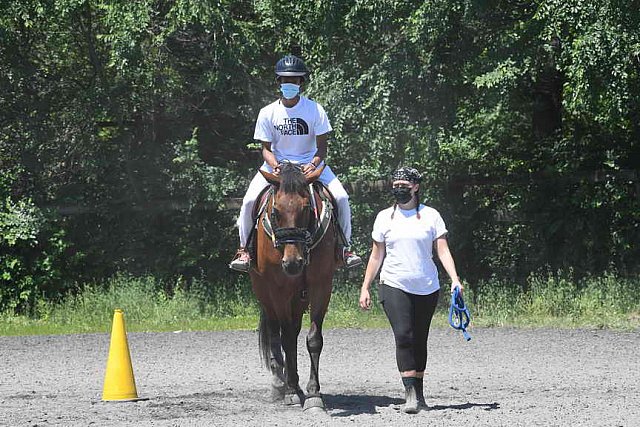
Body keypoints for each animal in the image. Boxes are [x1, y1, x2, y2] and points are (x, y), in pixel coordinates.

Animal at [249, 162, 340, 412]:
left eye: (306, 208)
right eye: (276, 211)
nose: (292, 263)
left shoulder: (321, 286)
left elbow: (313, 339)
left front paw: (313, 393)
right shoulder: (279, 289)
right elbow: (287, 338)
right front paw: (290, 391)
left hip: (299, 298)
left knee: (294, 328)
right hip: (264, 291)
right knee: (274, 331)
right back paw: (280, 383)